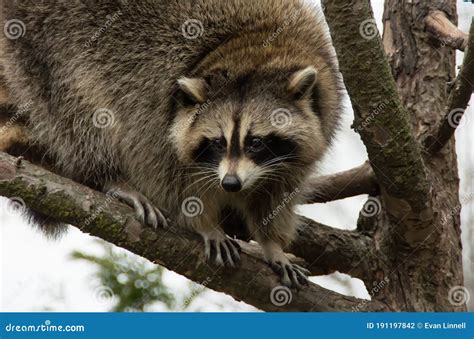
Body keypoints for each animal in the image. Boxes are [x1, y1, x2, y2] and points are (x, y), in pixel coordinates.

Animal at [0, 0, 340, 288]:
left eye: (256, 142)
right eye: (218, 142)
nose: (230, 183)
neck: (252, 49)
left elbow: (276, 192)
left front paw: (271, 242)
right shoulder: (154, 90)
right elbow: (166, 170)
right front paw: (203, 222)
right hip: (43, 35)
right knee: (73, 102)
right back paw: (106, 175)